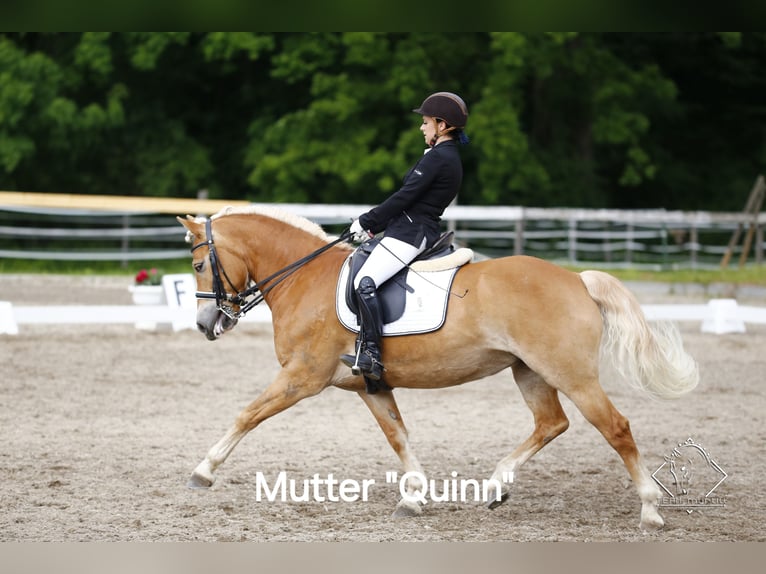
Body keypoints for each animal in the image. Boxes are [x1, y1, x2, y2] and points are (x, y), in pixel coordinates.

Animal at [177, 206, 700, 532]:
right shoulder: (369, 385)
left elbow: (247, 415)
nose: (205, 324)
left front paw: (203, 470)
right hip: (529, 371)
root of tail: (576, 279)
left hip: (571, 374)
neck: (304, 278)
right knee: (551, 423)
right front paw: (413, 497)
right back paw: (495, 485)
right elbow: (398, 436)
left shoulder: (301, 377)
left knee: (615, 427)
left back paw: (651, 511)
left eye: (200, 264)